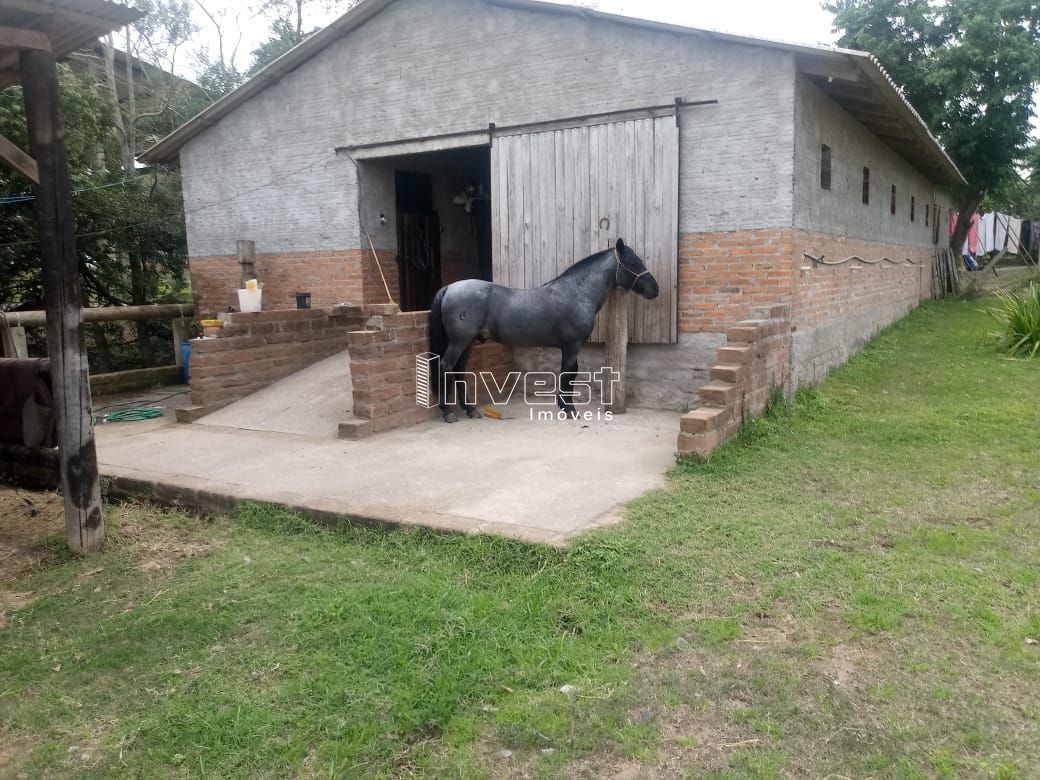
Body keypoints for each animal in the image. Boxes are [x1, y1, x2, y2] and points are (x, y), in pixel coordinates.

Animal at [424, 237, 657, 422]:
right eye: (633, 262)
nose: (655, 289)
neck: (577, 292)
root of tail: (450, 288)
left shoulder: (569, 347)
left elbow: (569, 373)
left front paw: (564, 406)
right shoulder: (571, 346)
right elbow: (568, 373)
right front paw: (569, 410)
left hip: (468, 342)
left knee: (458, 370)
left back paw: (470, 410)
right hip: (459, 342)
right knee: (445, 366)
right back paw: (448, 412)